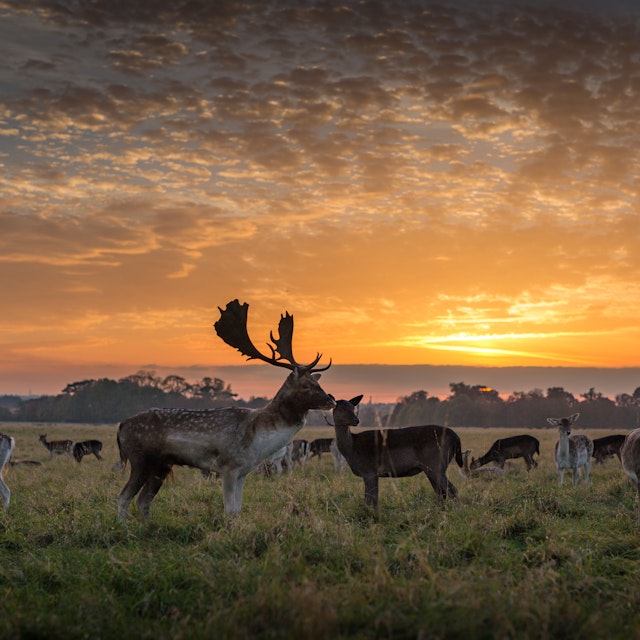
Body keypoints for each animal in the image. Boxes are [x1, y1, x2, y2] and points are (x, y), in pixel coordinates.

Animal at [117, 299, 335, 520]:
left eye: (317, 382)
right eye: (305, 385)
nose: (331, 400)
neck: (257, 440)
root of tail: (121, 426)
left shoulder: (244, 471)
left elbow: (237, 509)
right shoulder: (228, 466)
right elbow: (229, 509)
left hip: (162, 465)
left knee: (143, 500)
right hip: (140, 459)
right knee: (123, 496)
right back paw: (123, 526)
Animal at [332, 395, 463, 509]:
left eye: (353, 407)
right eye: (341, 408)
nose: (356, 420)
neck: (352, 449)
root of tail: (456, 437)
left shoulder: (369, 471)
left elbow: (370, 500)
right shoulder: (372, 473)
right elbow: (373, 499)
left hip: (436, 464)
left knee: (452, 491)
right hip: (432, 468)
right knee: (441, 492)